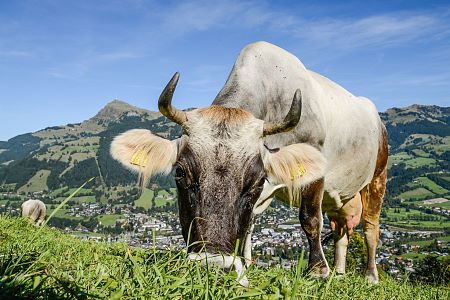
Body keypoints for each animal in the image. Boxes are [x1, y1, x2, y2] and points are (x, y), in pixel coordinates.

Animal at [110, 41, 388, 284]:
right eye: (180, 173)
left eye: (258, 180)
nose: (214, 265)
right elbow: (249, 225)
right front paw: (247, 262)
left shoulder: (315, 170)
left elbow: (310, 218)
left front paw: (318, 270)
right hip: (340, 197)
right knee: (341, 232)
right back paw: (340, 273)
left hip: (377, 178)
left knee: (370, 229)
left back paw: (370, 276)